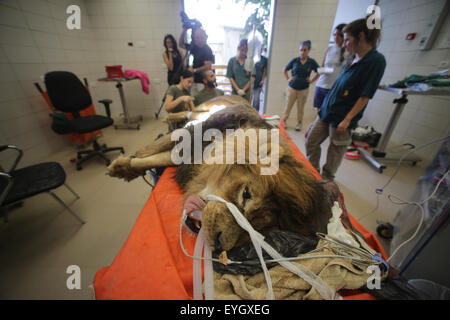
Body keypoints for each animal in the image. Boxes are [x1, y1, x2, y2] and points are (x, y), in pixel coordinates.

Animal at [107, 96, 332, 251]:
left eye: (259, 229)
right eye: (246, 194)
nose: (218, 243)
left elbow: (157, 158)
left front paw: (124, 167)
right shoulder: (191, 136)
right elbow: (149, 152)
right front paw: (120, 167)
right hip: (204, 111)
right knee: (188, 111)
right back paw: (168, 115)